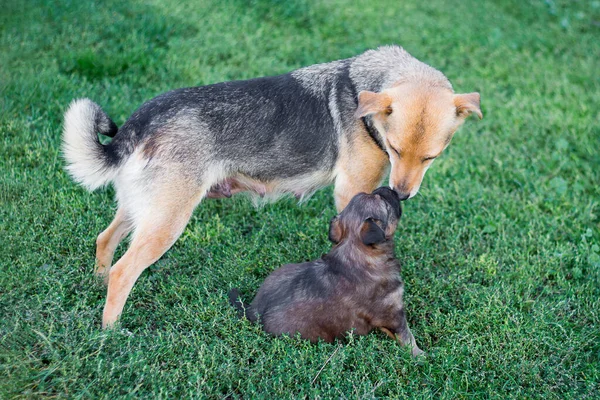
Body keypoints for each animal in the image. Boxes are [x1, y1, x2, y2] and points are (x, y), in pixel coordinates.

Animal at [62, 45, 482, 326]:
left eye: (431, 157)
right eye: (394, 149)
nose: (402, 194)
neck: (365, 93)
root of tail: (143, 118)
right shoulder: (352, 192)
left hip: (142, 210)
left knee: (105, 239)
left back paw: (96, 284)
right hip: (167, 222)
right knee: (124, 272)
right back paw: (111, 332)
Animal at [229, 188, 422, 356]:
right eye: (383, 200)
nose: (385, 188)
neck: (354, 249)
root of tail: (253, 311)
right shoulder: (394, 313)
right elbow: (407, 336)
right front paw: (420, 355)